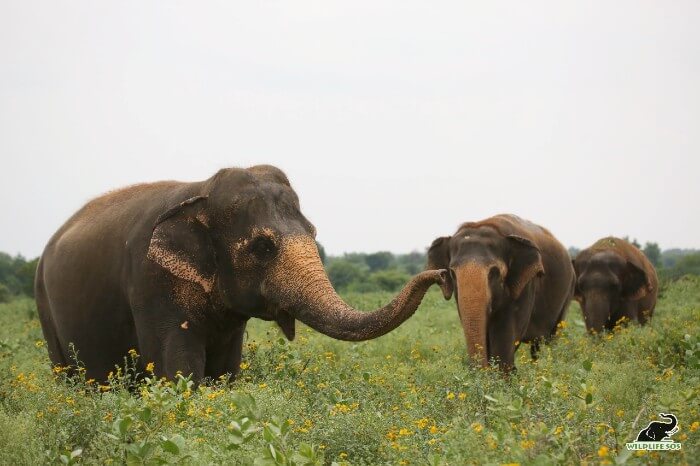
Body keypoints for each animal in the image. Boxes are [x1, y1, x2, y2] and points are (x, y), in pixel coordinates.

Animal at [35, 166, 446, 384]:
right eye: (262, 247)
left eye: (313, 233)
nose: (443, 276)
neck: (201, 192)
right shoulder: (152, 282)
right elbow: (176, 367)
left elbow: (225, 371)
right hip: (46, 309)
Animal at [426, 214, 576, 372]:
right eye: (453, 273)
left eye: (494, 272)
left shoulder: (526, 284)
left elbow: (505, 332)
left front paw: (502, 374)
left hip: (569, 291)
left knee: (552, 338)